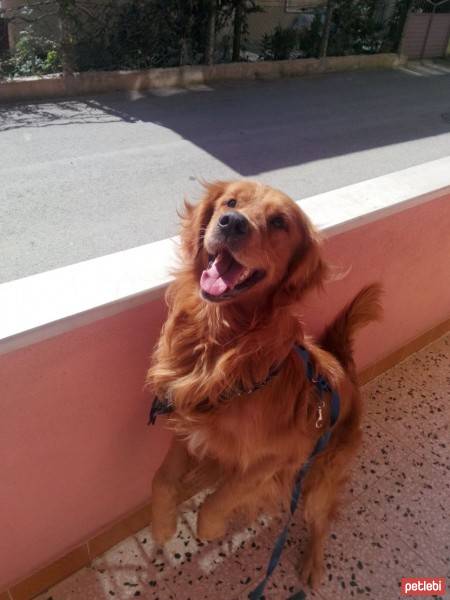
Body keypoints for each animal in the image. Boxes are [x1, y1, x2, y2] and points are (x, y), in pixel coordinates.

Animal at [147, 180, 380, 588]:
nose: (231, 222)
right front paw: (163, 525)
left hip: (319, 478)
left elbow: (226, 494)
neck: (222, 343)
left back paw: (312, 563)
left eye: (278, 222)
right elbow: (161, 482)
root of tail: (345, 369)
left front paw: (210, 528)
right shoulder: (187, 424)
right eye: (230, 202)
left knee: (321, 521)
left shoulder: (280, 455)